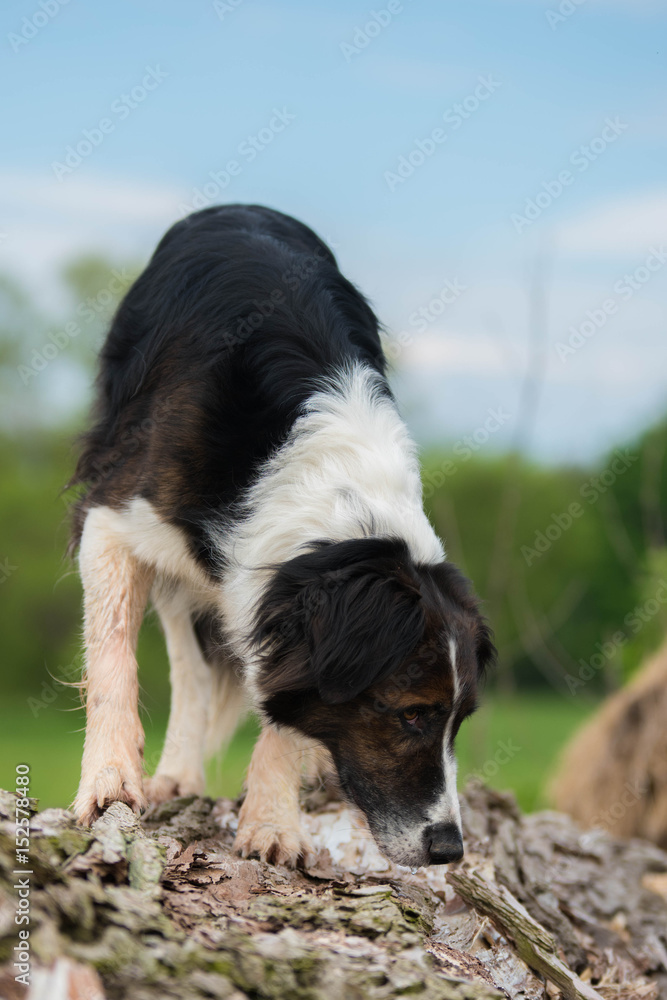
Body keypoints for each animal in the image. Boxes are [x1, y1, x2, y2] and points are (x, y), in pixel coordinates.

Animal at [69, 203, 496, 868]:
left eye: (461, 720)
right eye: (411, 715)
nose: (449, 849)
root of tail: (239, 207)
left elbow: (285, 701)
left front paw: (272, 820)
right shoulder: (114, 513)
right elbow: (114, 658)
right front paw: (110, 781)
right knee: (189, 667)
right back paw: (175, 774)